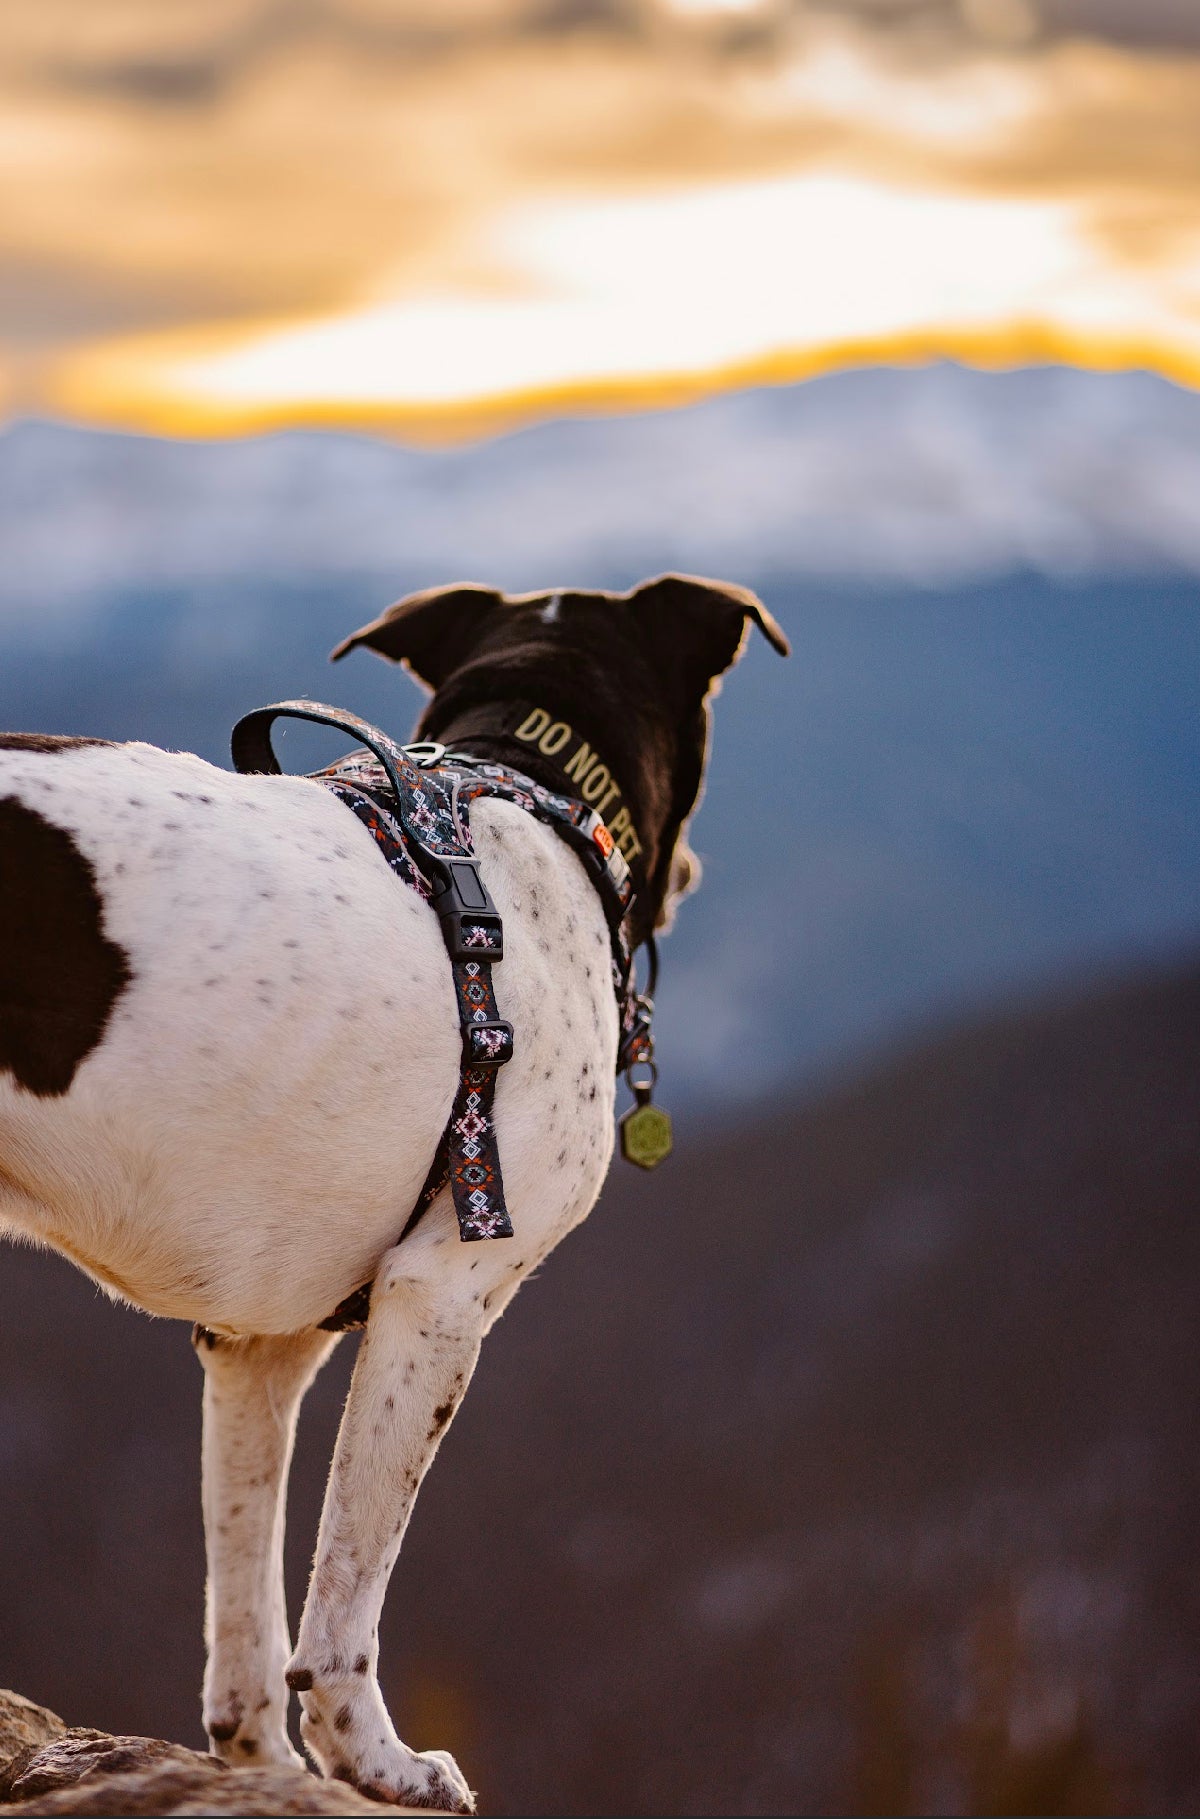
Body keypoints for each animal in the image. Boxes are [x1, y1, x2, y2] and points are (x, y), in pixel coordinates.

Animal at [0, 567, 792, 1804]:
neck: (519, 787)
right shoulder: (443, 1293)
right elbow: (347, 1593)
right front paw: (375, 1759)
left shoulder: (257, 1341)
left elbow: (245, 1627)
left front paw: (271, 1767)